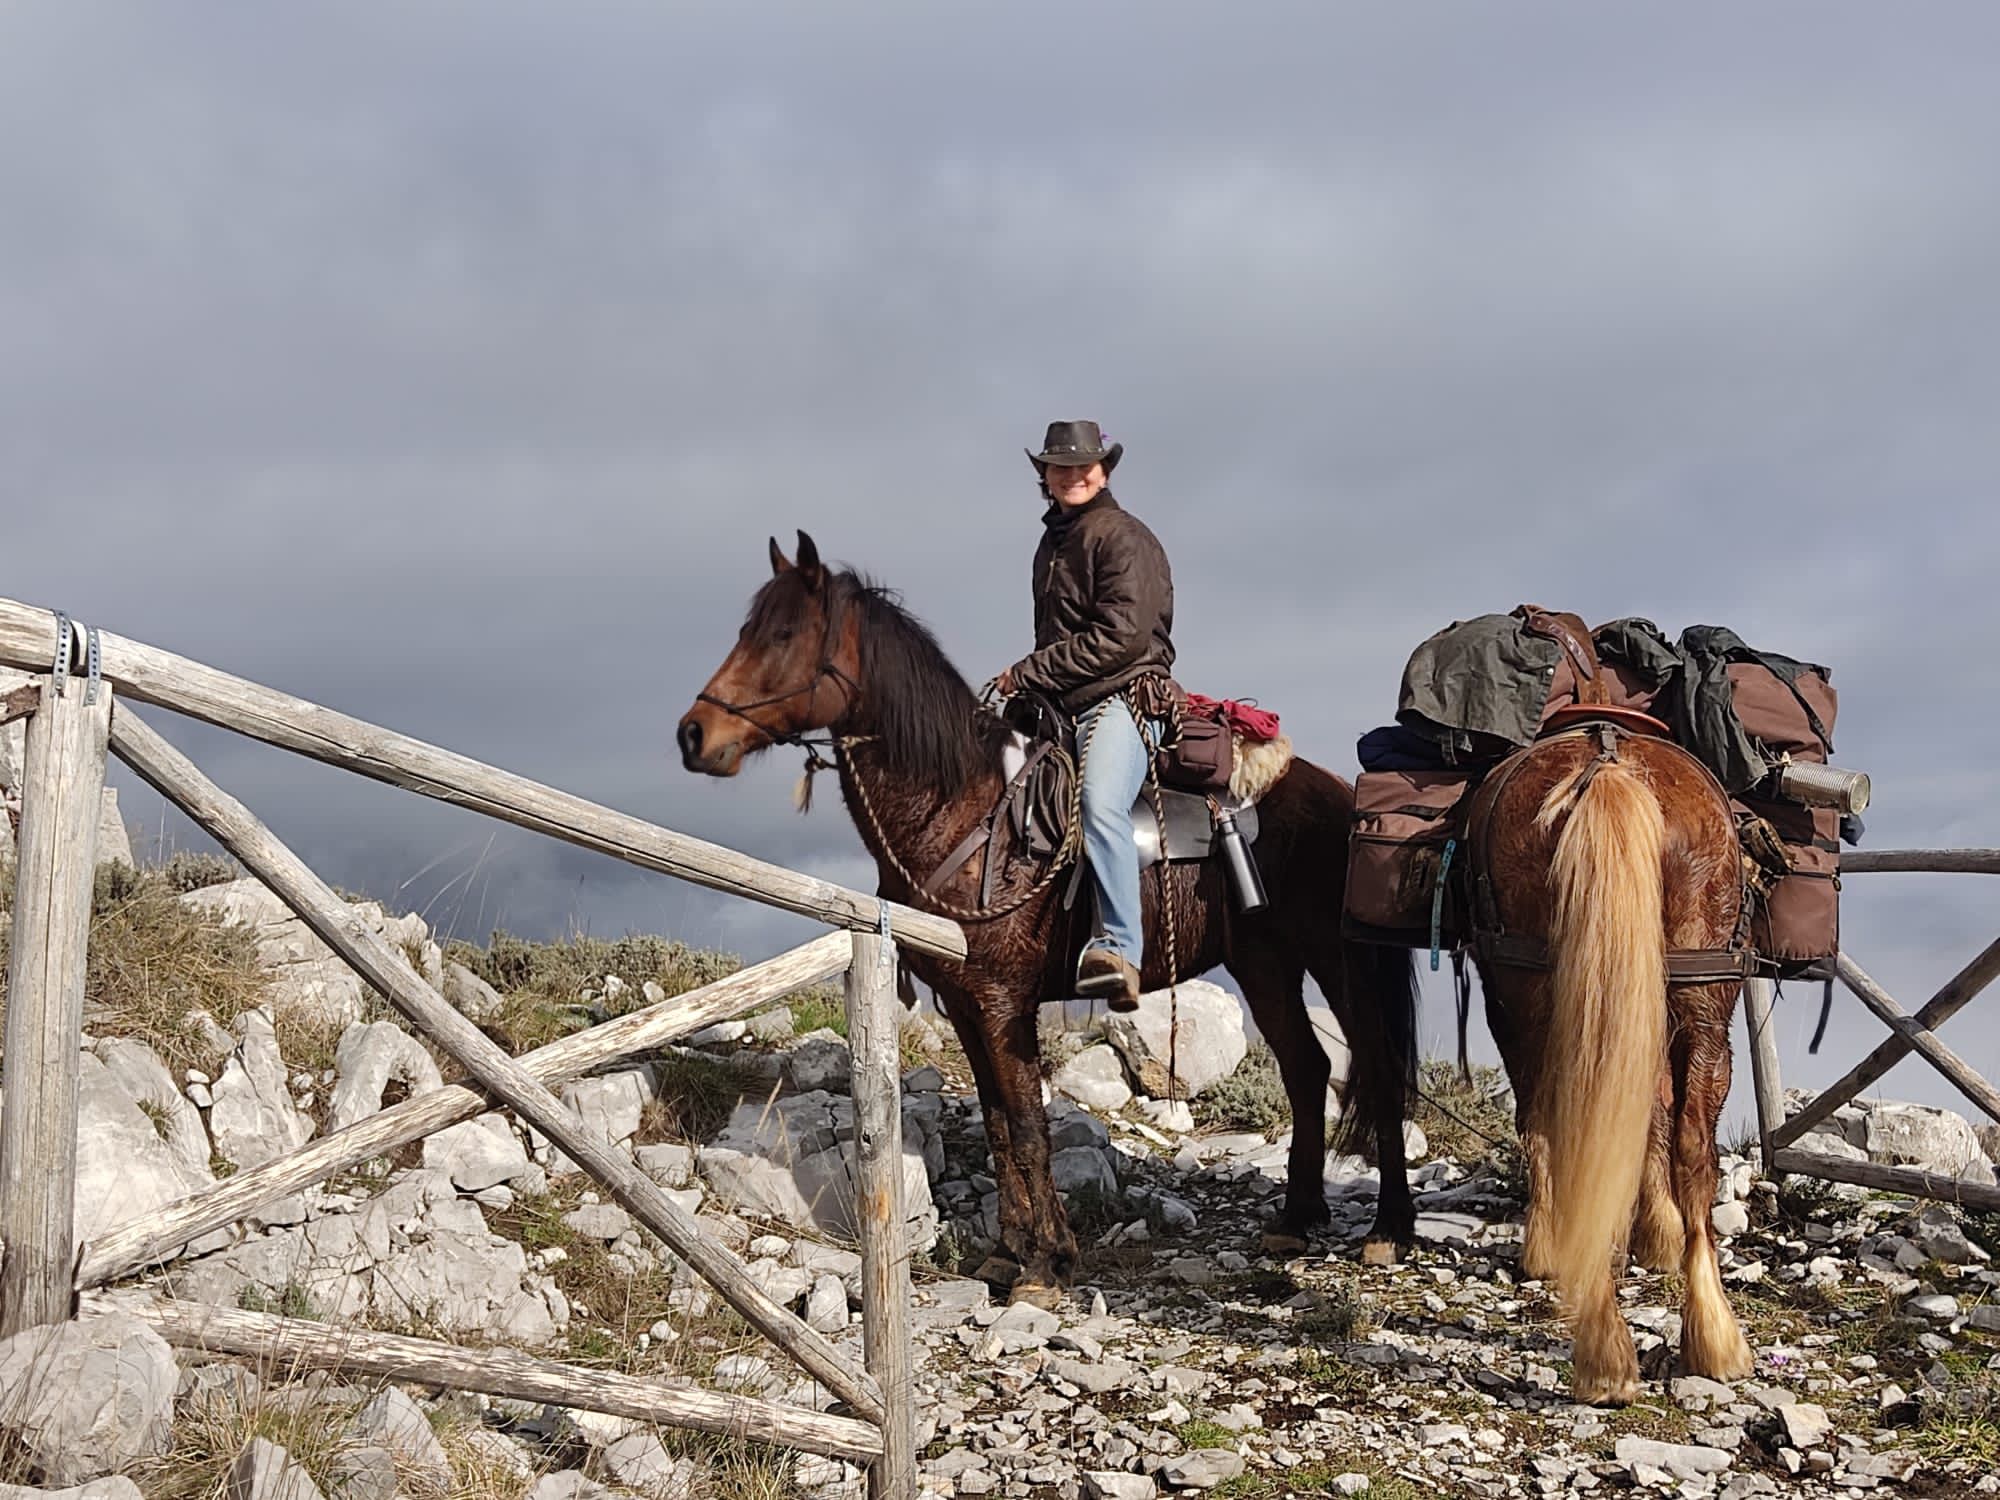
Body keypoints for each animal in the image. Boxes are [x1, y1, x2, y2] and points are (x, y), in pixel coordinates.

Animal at [676, 536, 1424, 1304]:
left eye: (783, 634)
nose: (694, 734)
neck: (966, 812)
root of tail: (1341, 795)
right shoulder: (967, 1006)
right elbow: (1001, 1128)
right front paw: (1008, 1254)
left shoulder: (1006, 1003)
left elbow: (1031, 1126)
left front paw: (1047, 1264)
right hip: (1265, 963)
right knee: (1307, 1069)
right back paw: (1296, 1219)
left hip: (1338, 960)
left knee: (1377, 1066)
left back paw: (1389, 1229)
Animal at [1464, 728, 1760, 1408]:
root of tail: (1606, 764)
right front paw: (1658, 1232)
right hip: (1702, 990)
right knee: (1692, 1144)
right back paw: (1713, 1338)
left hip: (1528, 994)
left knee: (1568, 1124)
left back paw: (1604, 1350)